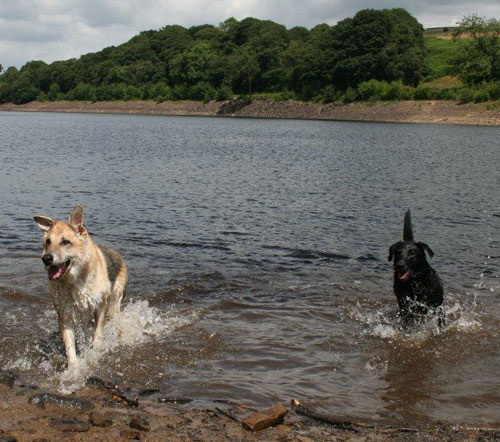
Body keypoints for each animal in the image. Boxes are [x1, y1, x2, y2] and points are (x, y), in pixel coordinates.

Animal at [34, 205, 128, 368]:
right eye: (48, 241)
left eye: (65, 242)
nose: (46, 258)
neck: (74, 281)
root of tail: (117, 253)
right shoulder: (65, 315)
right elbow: (69, 344)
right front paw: (73, 367)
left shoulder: (100, 306)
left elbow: (97, 333)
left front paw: (95, 350)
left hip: (114, 302)